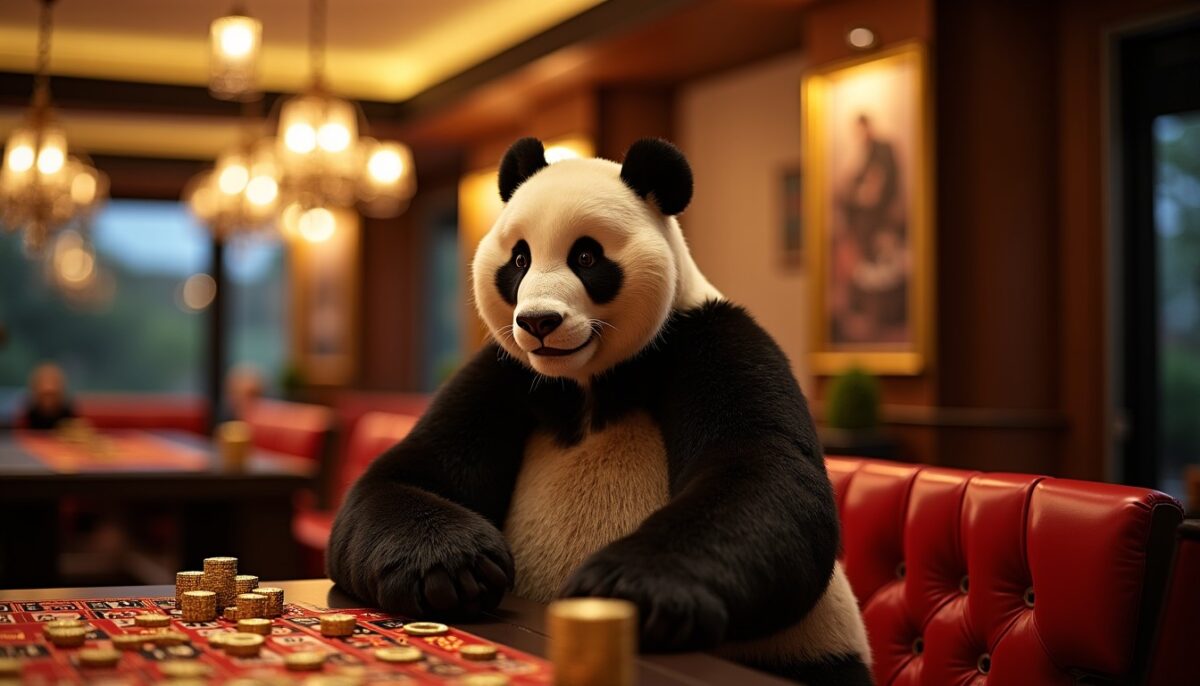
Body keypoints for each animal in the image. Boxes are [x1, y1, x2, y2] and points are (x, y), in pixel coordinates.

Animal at [328, 137, 872, 685]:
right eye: (519, 259)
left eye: (586, 256)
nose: (539, 322)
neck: (588, 385)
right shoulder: (505, 373)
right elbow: (411, 472)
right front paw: (453, 568)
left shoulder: (710, 340)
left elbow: (762, 470)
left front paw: (630, 590)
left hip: (816, 652)